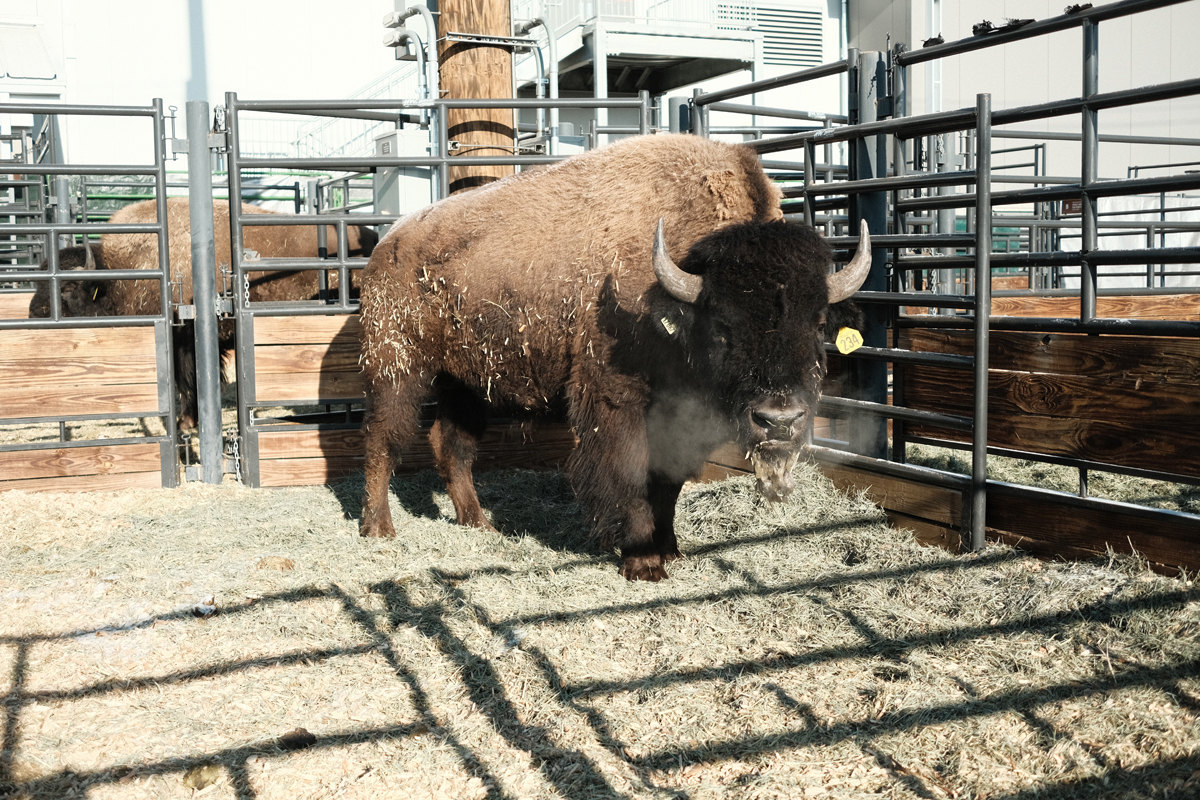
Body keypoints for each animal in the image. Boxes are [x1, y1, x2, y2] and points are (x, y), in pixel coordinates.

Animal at [29, 198, 377, 429]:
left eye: (67, 288)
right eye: (39, 280)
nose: (34, 316)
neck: (123, 270)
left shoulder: (187, 341)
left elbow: (190, 381)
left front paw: (186, 423)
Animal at [358, 134, 870, 581]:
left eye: (818, 323)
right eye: (722, 328)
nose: (779, 420)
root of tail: (387, 246)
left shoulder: (678, 417)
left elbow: (667, 486)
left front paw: (671, 549)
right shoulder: (616, 401)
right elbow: (631, 475)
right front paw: (643, 563)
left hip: (466, 381)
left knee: (451, 443)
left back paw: (478, 523)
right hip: (397, 368)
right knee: (384, 439)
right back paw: (378, 529)